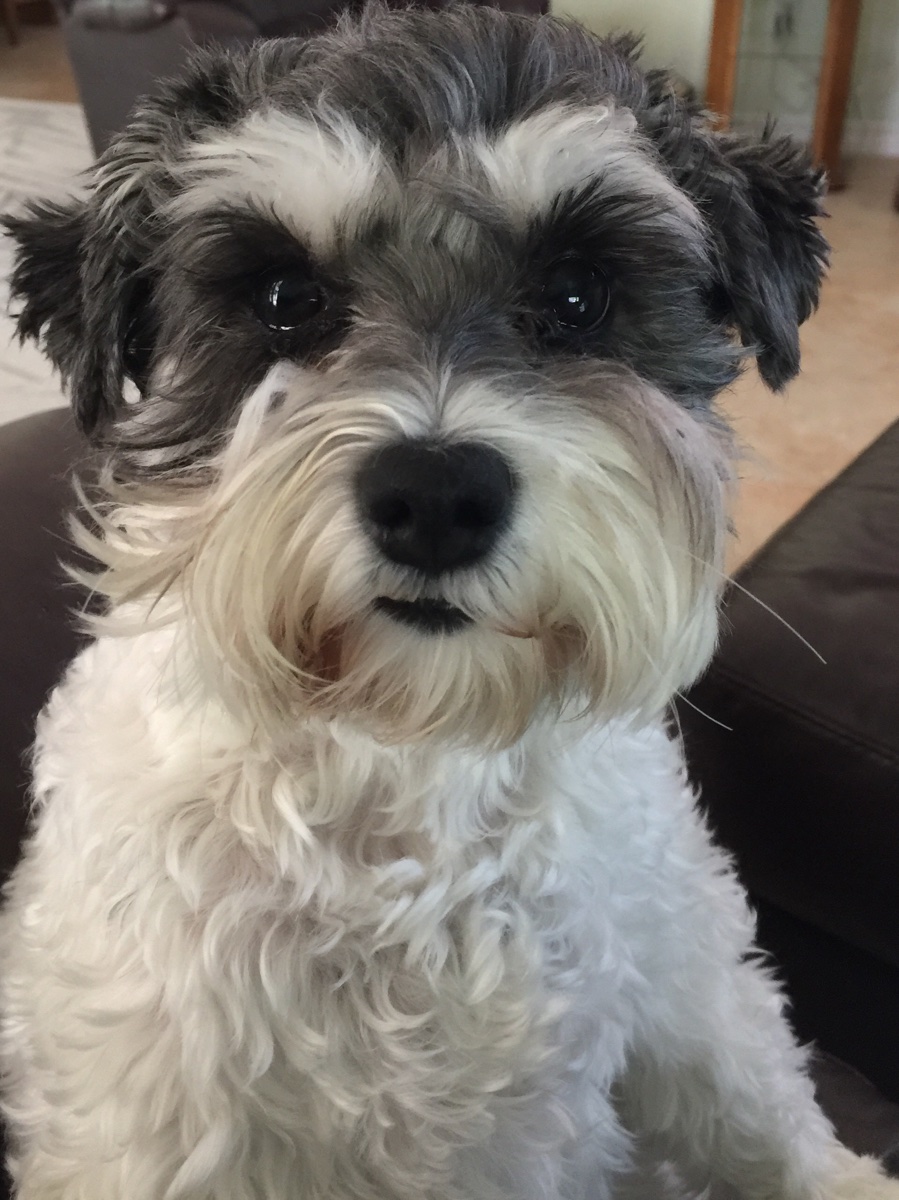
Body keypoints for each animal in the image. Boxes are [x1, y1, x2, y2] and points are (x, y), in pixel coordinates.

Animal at [1, 5, 894, 1198]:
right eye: (285, 300)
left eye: (575, 296)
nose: (435, 497)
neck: (412, 761)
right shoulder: (153, 1123)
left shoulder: (683, 976)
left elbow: (757, 1109)